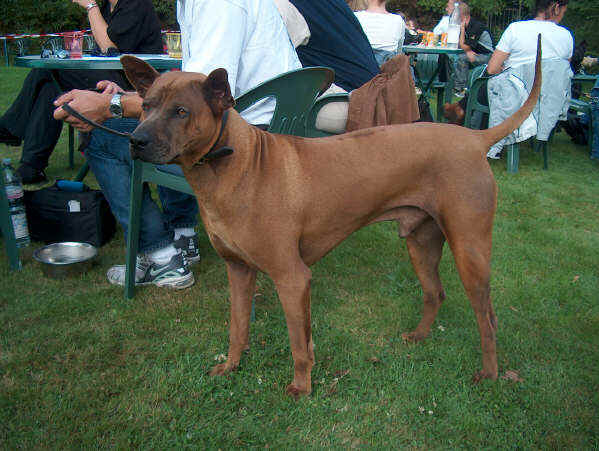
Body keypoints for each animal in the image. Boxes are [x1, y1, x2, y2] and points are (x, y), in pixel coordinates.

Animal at [119, 40, 540, 398]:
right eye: (146, 106)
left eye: (181, 112)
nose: (136, 141)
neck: (237, 164)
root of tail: (474, 139)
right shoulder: (238, 271)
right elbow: (238, 328)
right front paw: (231, 366)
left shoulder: (292, 278)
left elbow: (298, 344)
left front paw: (301, 387)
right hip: (421, 242)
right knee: (435, 292)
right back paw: (419, 337)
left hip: (470, 250)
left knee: (488, 318)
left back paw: (490, 373)